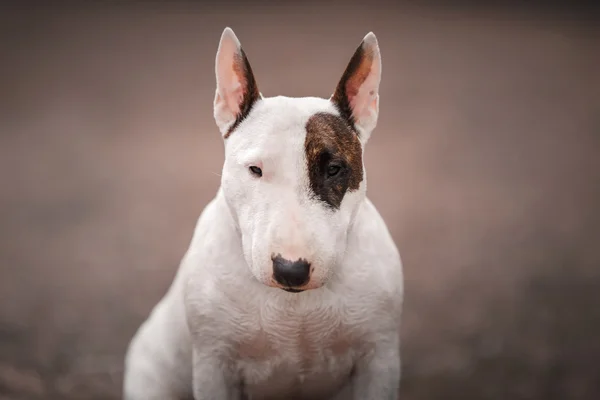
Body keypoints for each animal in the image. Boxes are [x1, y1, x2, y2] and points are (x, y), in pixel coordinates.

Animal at [123, 28, 404, 400]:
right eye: (255, 169)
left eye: (334, 169)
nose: (290, 270)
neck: (294, 308)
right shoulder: (215, 363)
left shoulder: (379, 357)